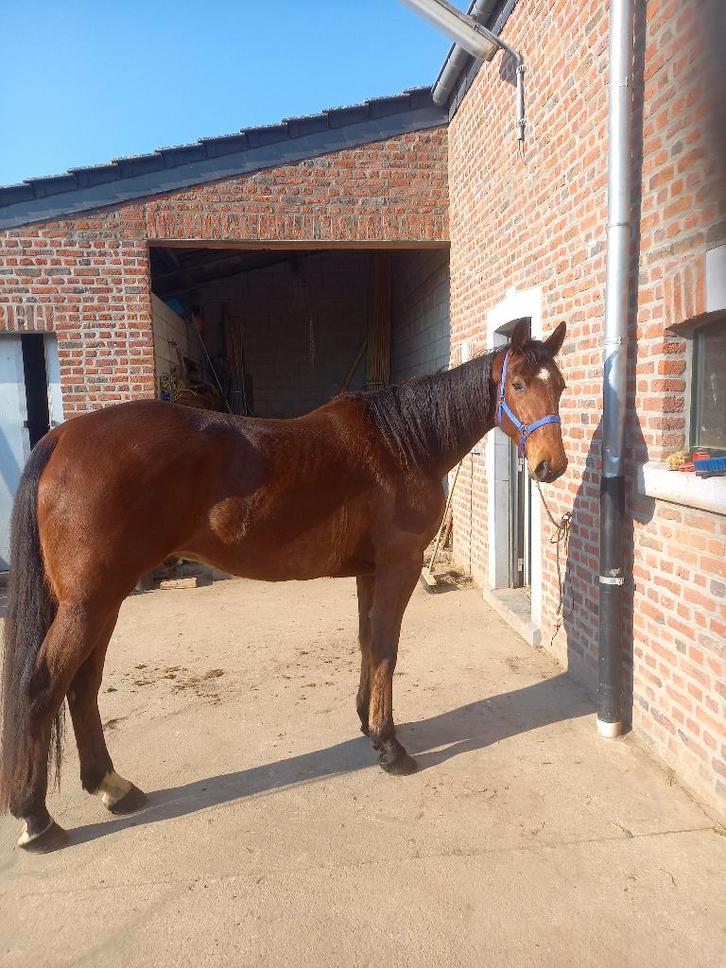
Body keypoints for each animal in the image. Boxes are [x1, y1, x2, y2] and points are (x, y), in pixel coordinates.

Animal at [0, 317, 567, 853]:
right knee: (43, 686)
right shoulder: (398, 566)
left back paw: (112, 786)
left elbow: (367, 644)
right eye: (518, 383)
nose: (551, 466)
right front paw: (390, 747)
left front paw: (366, 723)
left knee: (83, 687)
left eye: (559, 384)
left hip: (107, 600)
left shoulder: (369, 572)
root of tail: (64, 437)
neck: (402, 443)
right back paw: (37, 819)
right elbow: (386, 649)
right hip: (90, 602)